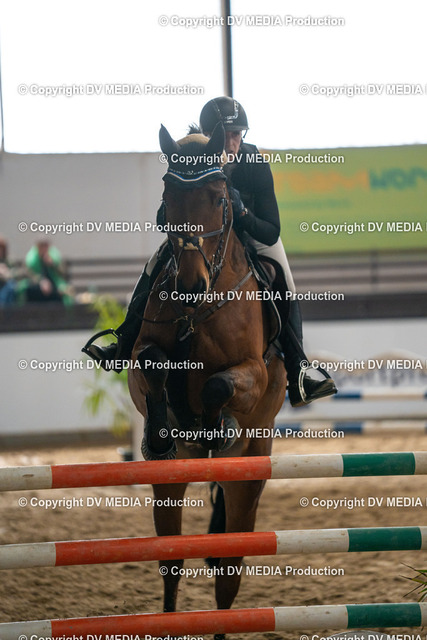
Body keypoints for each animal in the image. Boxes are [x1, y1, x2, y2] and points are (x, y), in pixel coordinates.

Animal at [127, 122, 287, 640]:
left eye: (220, 198)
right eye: (167, 196)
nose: (190, 288)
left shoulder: (254, 371)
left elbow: (219, 385)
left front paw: (218, 428)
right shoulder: (140, 355)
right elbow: (152, 363)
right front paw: (161, 430)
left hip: (250, 472)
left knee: (229, 572)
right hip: (171, 479)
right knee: (172, 562)